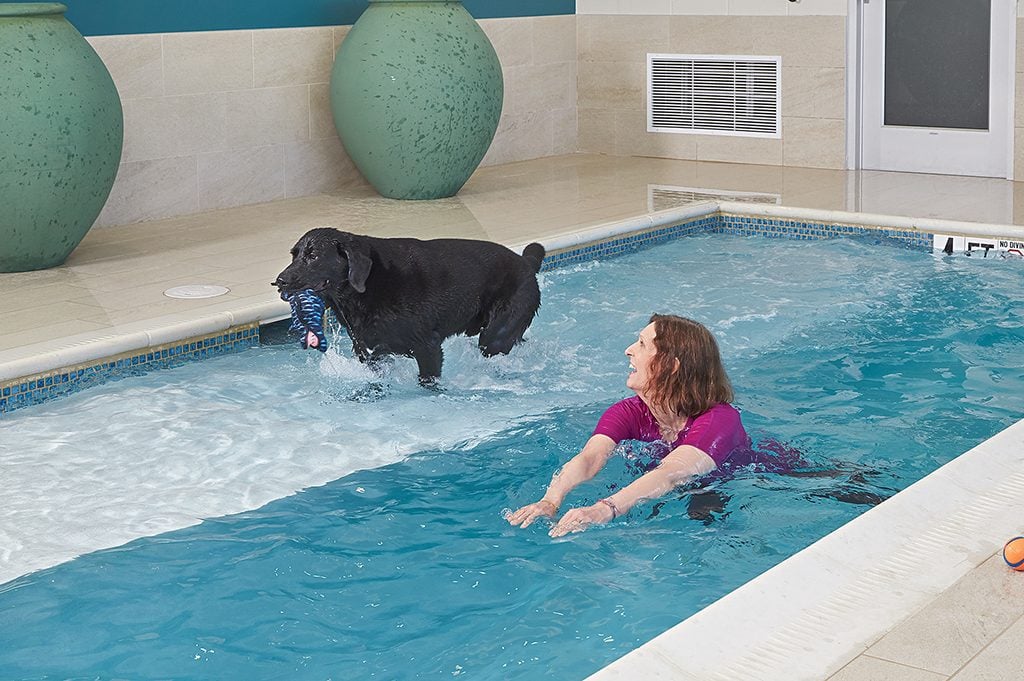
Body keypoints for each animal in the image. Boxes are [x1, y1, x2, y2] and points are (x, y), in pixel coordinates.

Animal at [272, 227, 544, 382]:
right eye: (294, 255)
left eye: (313, 256)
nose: (279, 281)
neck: (370, 284)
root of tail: (526, 262)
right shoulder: (370, 354)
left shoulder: (428, 348)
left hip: (495, 335)